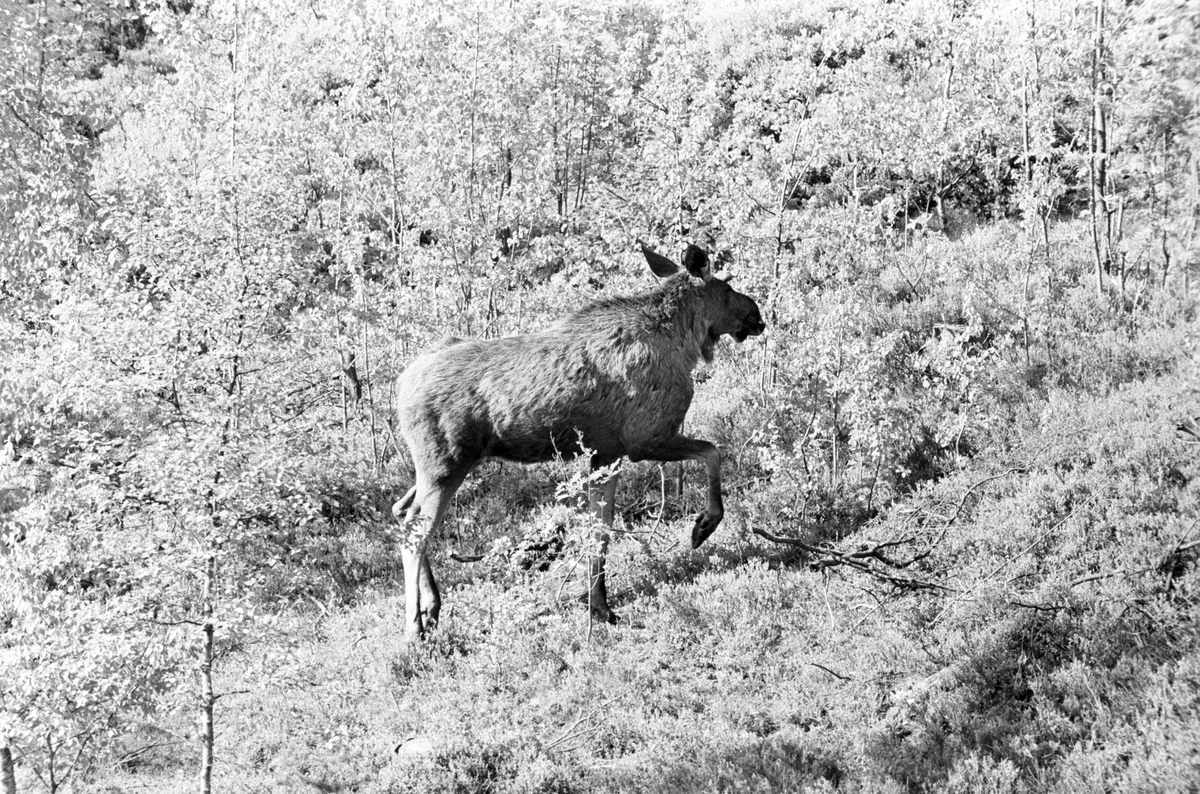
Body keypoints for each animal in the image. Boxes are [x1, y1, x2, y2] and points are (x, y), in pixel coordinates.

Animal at [396, 242, 768, 642]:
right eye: (727, 288)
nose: (757, 317)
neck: (684, 343)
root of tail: (401, 384)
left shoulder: (607, 454)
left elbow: (600, 529)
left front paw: (600, 606)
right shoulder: (645, 439)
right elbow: (713, 451)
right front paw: (704, 525)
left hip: (439, 465)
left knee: (400, 510)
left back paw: (432, 606)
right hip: (447, 462)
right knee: (414, 531)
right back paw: (414, 626)